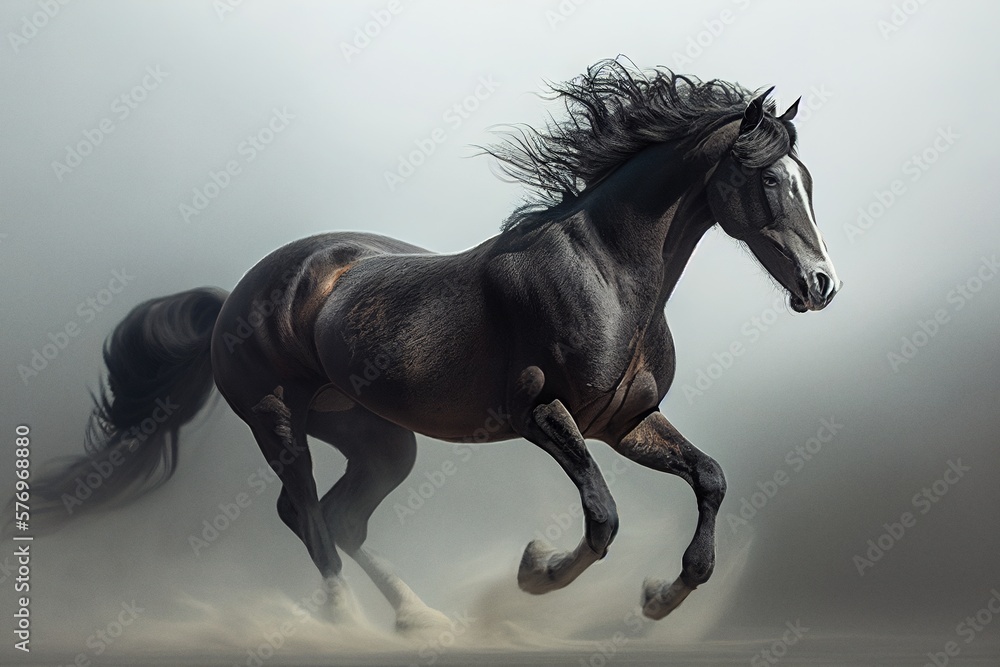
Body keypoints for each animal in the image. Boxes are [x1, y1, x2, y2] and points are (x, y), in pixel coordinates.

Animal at [27, 59, 841, 630]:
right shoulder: (541, 414)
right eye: (770, 180)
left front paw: (661, 597)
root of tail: (238, 293)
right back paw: (345, 624)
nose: (822, 284)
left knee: (335, 516)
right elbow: (603, 516)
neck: (606, 269)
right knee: (307, 513)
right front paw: (536, 571)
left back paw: (417, 617)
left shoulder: (626, 422)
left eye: (806, 177)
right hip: (276, 418)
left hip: (378, 438)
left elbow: (710, 478)